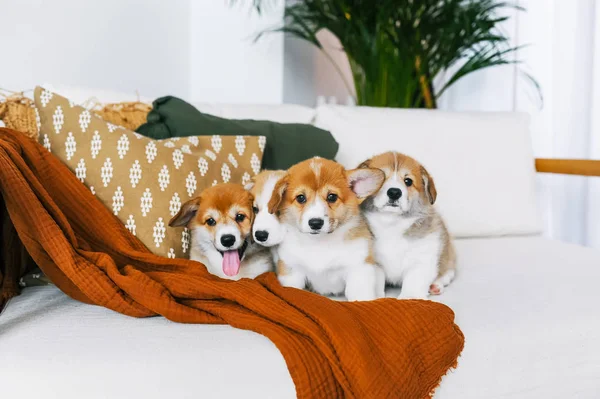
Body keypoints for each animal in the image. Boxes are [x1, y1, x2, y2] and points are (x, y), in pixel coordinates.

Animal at [270, 158, 386, 302]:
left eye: (332, 197)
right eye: (301, 198)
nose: (315, 223)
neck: (320, 243)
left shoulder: (358, 268)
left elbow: (360, 296)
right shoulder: (292, 270)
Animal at [360, 153, 454, 300]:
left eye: (408, 181)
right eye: (381, 178)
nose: (394, 192)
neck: (391, 223)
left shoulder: (422, 258)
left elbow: (413, 282)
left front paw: (409, 297)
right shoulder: (374, 263)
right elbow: (376, 280)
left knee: (448, 272)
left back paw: (435, 286)